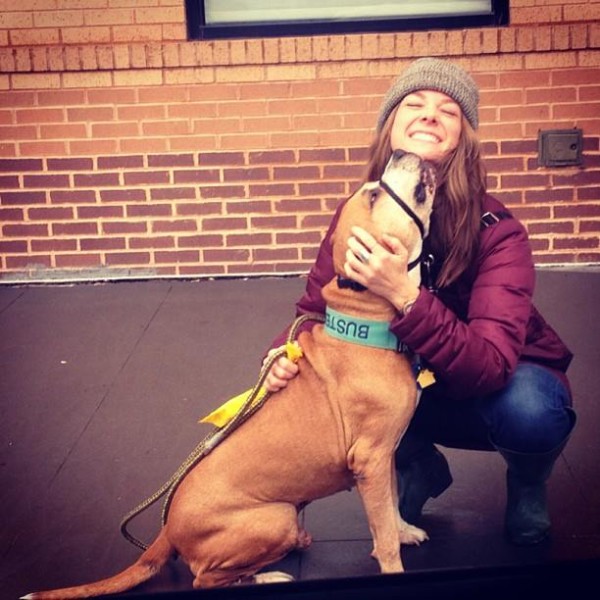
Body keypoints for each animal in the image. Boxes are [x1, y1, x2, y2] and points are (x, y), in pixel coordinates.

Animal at [23, 150, 436, 596]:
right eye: (375, 194)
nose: (400, 151)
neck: (365, 320)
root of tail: (166, 531)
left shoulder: (384, 457)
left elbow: (390, 510)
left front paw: (404, 530)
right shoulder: (371, 459)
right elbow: (383, 535)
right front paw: (394, 566)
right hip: (274, 518)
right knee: (205, 579)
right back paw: (265, 575)